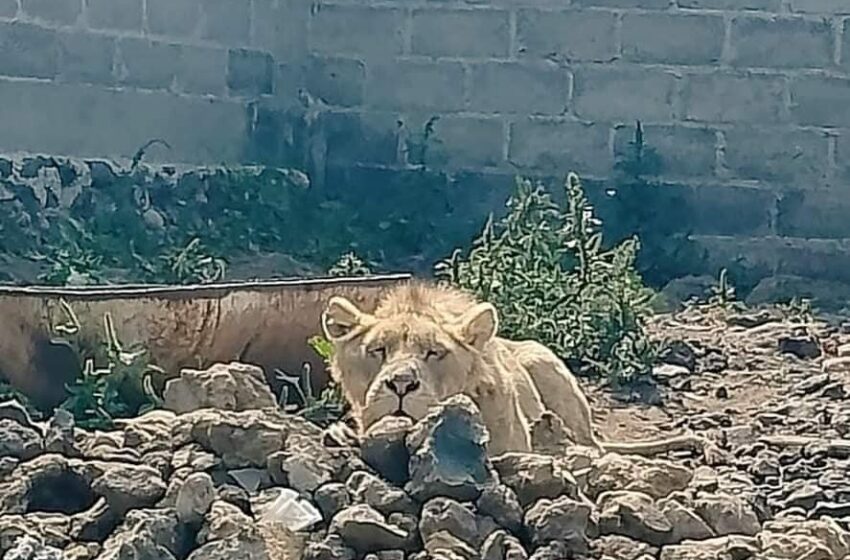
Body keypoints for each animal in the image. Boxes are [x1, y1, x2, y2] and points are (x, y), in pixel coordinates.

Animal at [321, 281, 706, 458]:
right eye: (377, 350)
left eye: (434, 352)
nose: (401, 384)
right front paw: (341, 434)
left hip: (542, 361)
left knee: (590, 445)